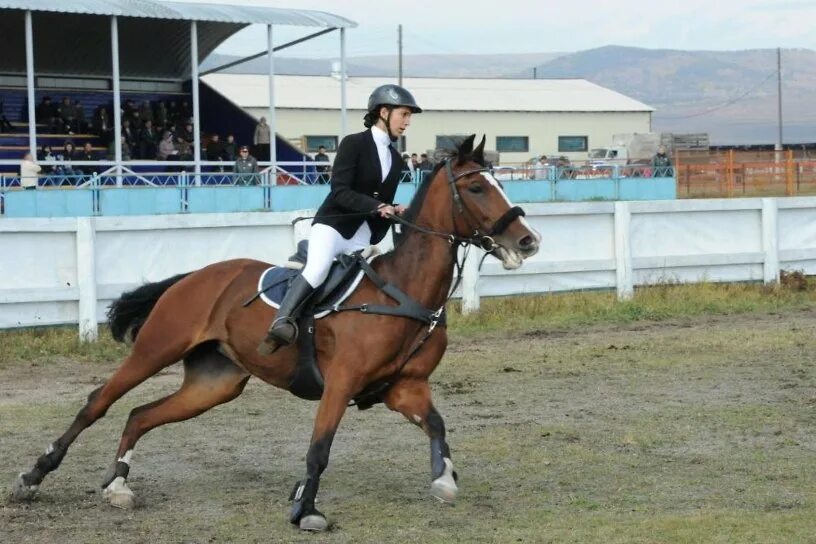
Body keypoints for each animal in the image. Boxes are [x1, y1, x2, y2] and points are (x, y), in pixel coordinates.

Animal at [9, 135, 540, 532]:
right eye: (477, 187)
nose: (528, 241)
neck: (402, 290)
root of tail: (195, 276)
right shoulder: (342, 382)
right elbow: (319, 448)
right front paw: (306, 510)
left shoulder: (404, 388)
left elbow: (437, 425)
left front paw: (444, 479)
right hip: (155, 350)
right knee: (98, 402)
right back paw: (32, 478)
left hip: (214, 383)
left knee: (141, 415)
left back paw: (118, 485)